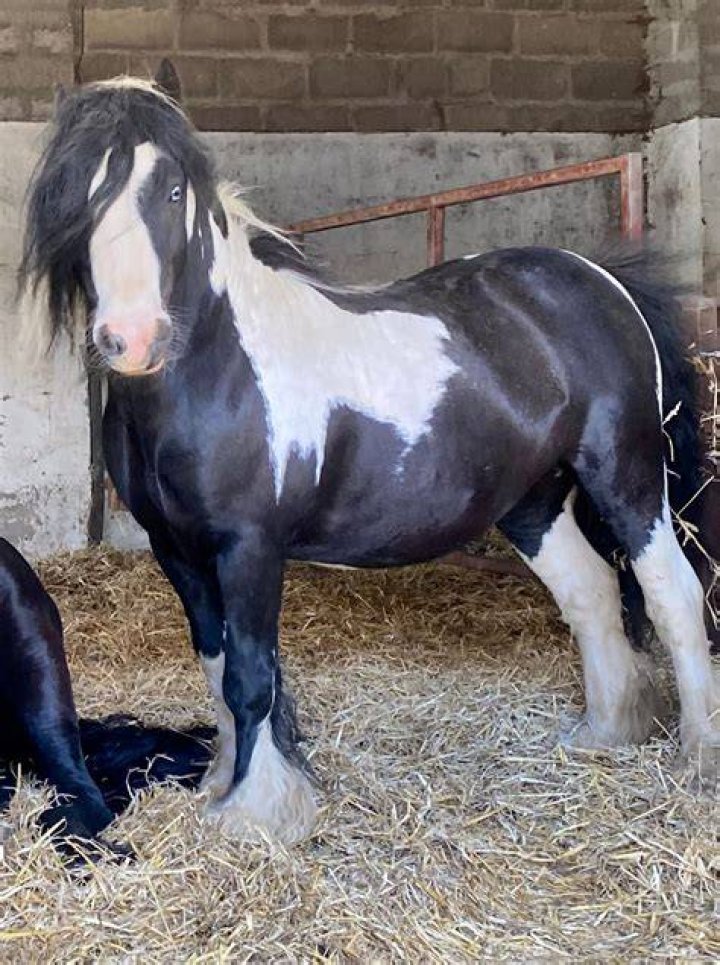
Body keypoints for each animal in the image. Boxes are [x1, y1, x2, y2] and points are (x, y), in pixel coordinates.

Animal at [19, 70, 719, 843]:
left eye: (174, 190)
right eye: (73, 194)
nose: (132, 339)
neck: (218, 366)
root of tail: (600, 278)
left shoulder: (249, 546)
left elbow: (249, 677)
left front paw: (258, 813)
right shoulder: (177, 549)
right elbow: (215, 663)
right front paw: (220, 783)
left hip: (628, 478)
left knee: (672, 593)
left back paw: (698, 755)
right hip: (531, 501)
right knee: (591, 592)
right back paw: (605, 732)